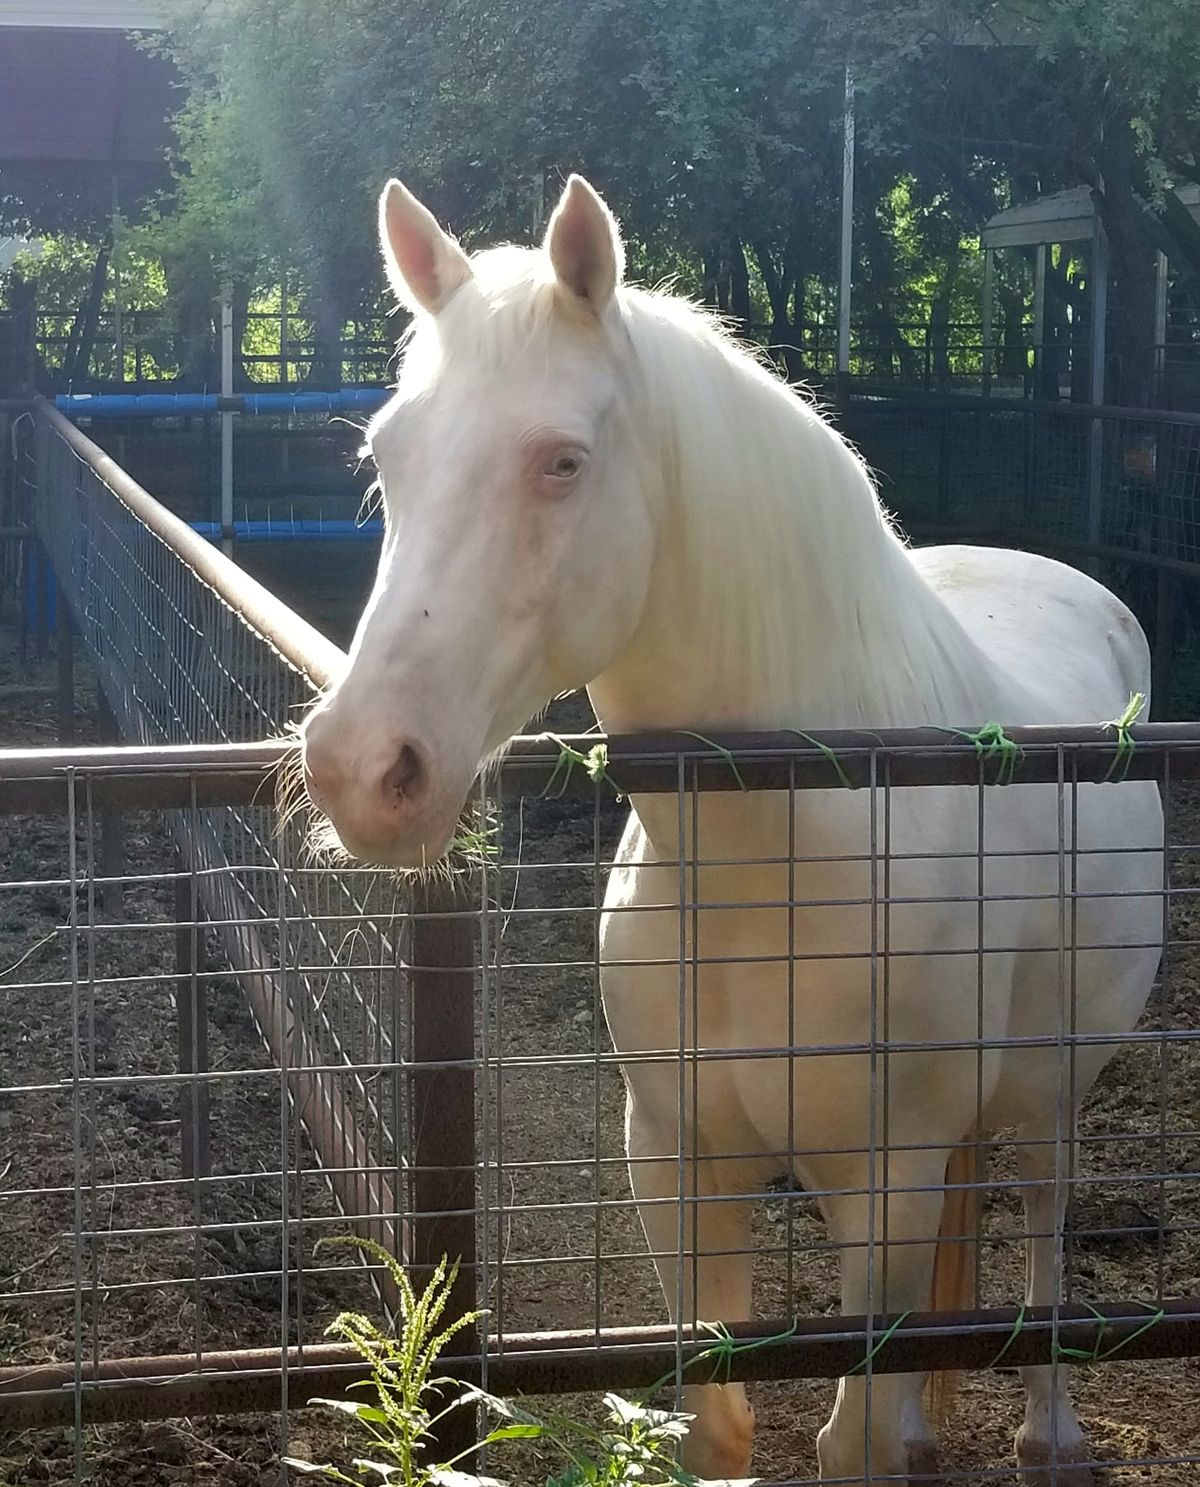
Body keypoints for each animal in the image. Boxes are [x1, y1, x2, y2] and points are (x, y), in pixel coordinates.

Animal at [304, 176, 1165, 1487]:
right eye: (387, 456)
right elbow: (716, 1420)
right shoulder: (675, 1160)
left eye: (563, 461)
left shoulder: (885, 1185)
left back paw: (1051, 1426)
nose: (362, 767)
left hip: (1056, 1085)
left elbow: (851, 1435)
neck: (783, 850)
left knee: (1046, 1218)